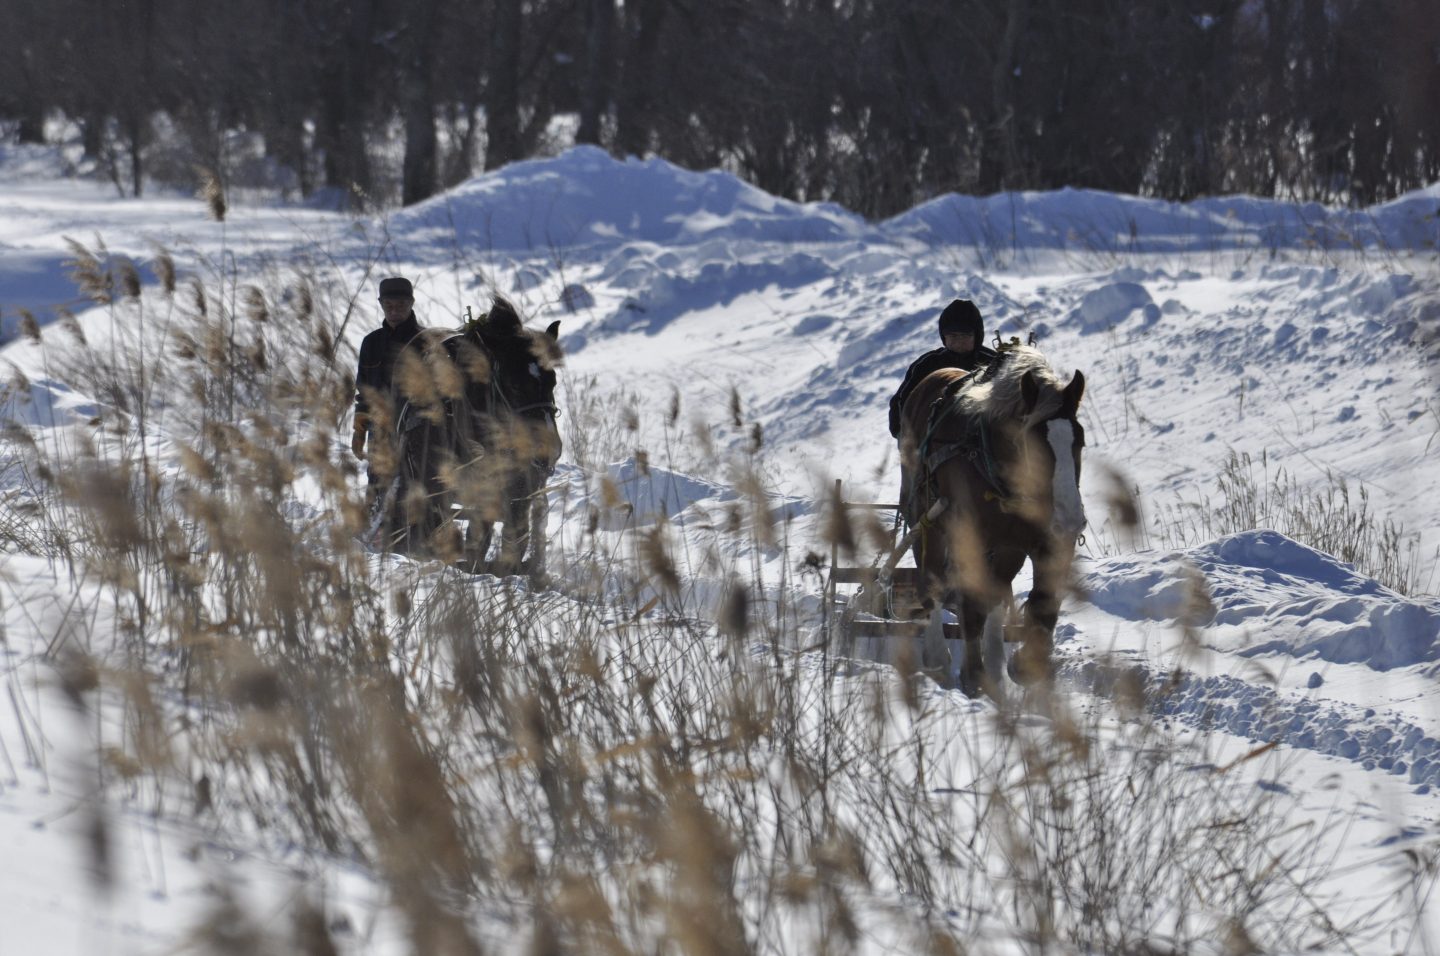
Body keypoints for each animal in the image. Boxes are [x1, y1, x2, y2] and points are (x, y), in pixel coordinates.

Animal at [892, 344, 1082, 693]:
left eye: (1080, 441)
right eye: (1033, 444)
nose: (1070, 517)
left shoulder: (1033, 540)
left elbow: (1041, 601)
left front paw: (1023, 664)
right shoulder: (967, 534)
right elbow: (970, 605)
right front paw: (972, 674)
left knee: (995, 592)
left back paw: (995, 665)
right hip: (926, 521)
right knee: (933, 583)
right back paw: (938, 659)